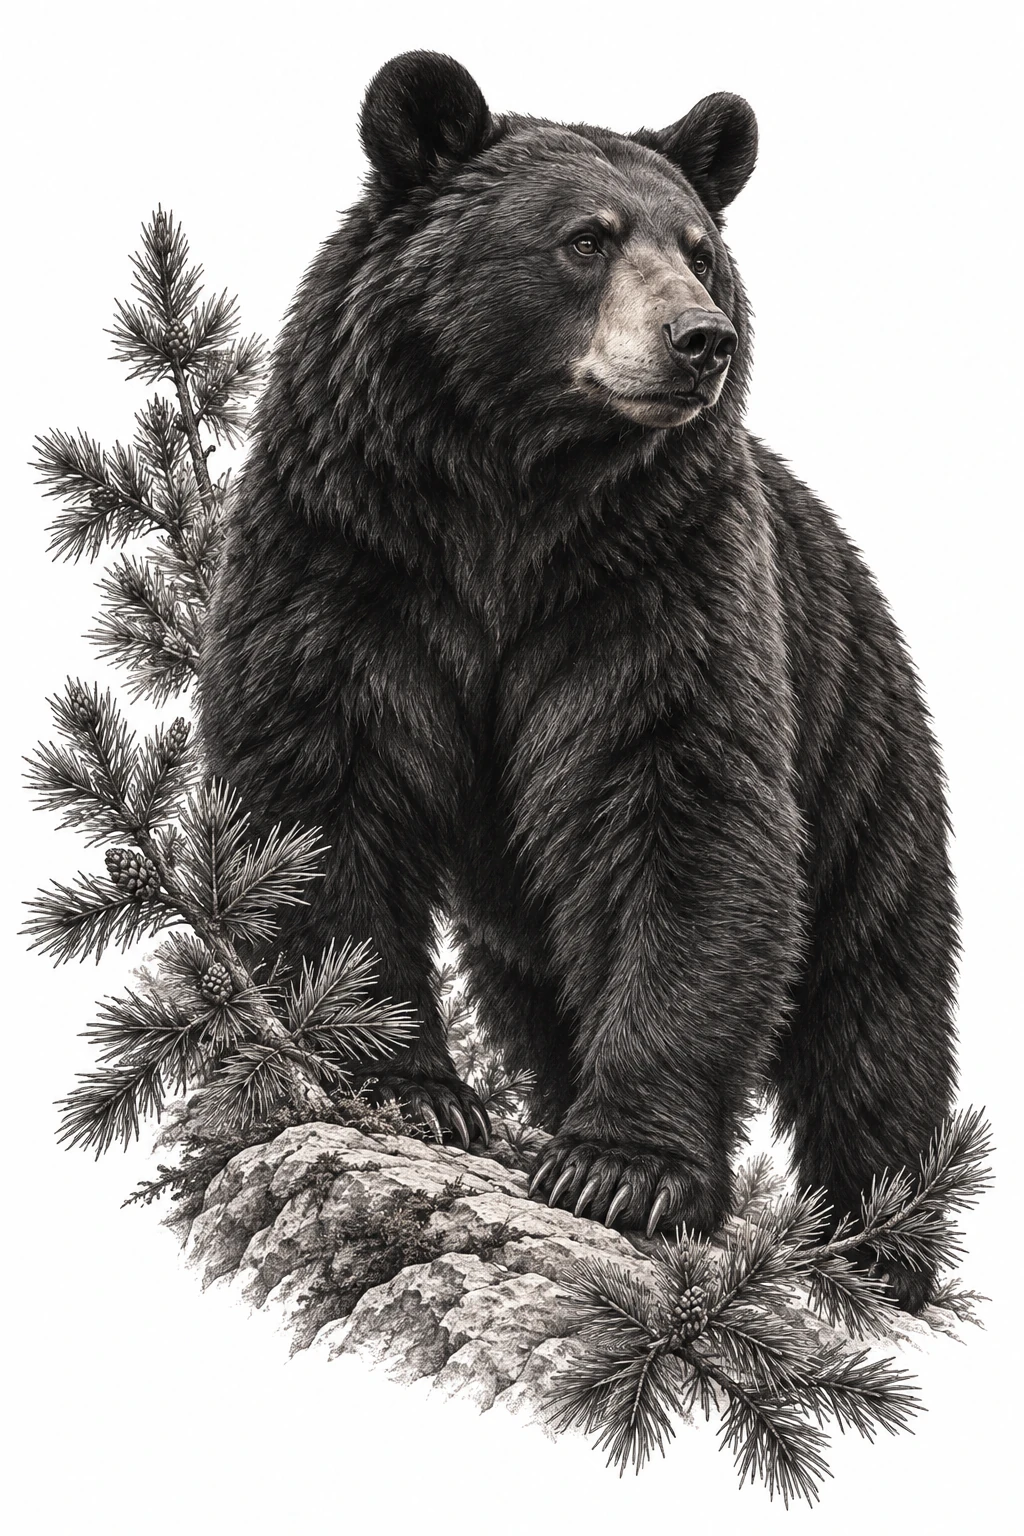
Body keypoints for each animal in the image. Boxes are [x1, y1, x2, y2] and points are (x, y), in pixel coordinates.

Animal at [199, 51, 958, 1312]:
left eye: (699, 246)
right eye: (584, 239)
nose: (700, 339)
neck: (514, 491)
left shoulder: (653, 579)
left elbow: (680, 811)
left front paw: (623, 1170)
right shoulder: (349, 553)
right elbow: (323, 790)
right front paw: (411, 1089)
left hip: (860, 754)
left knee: (874, 1016)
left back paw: (884, 1246)